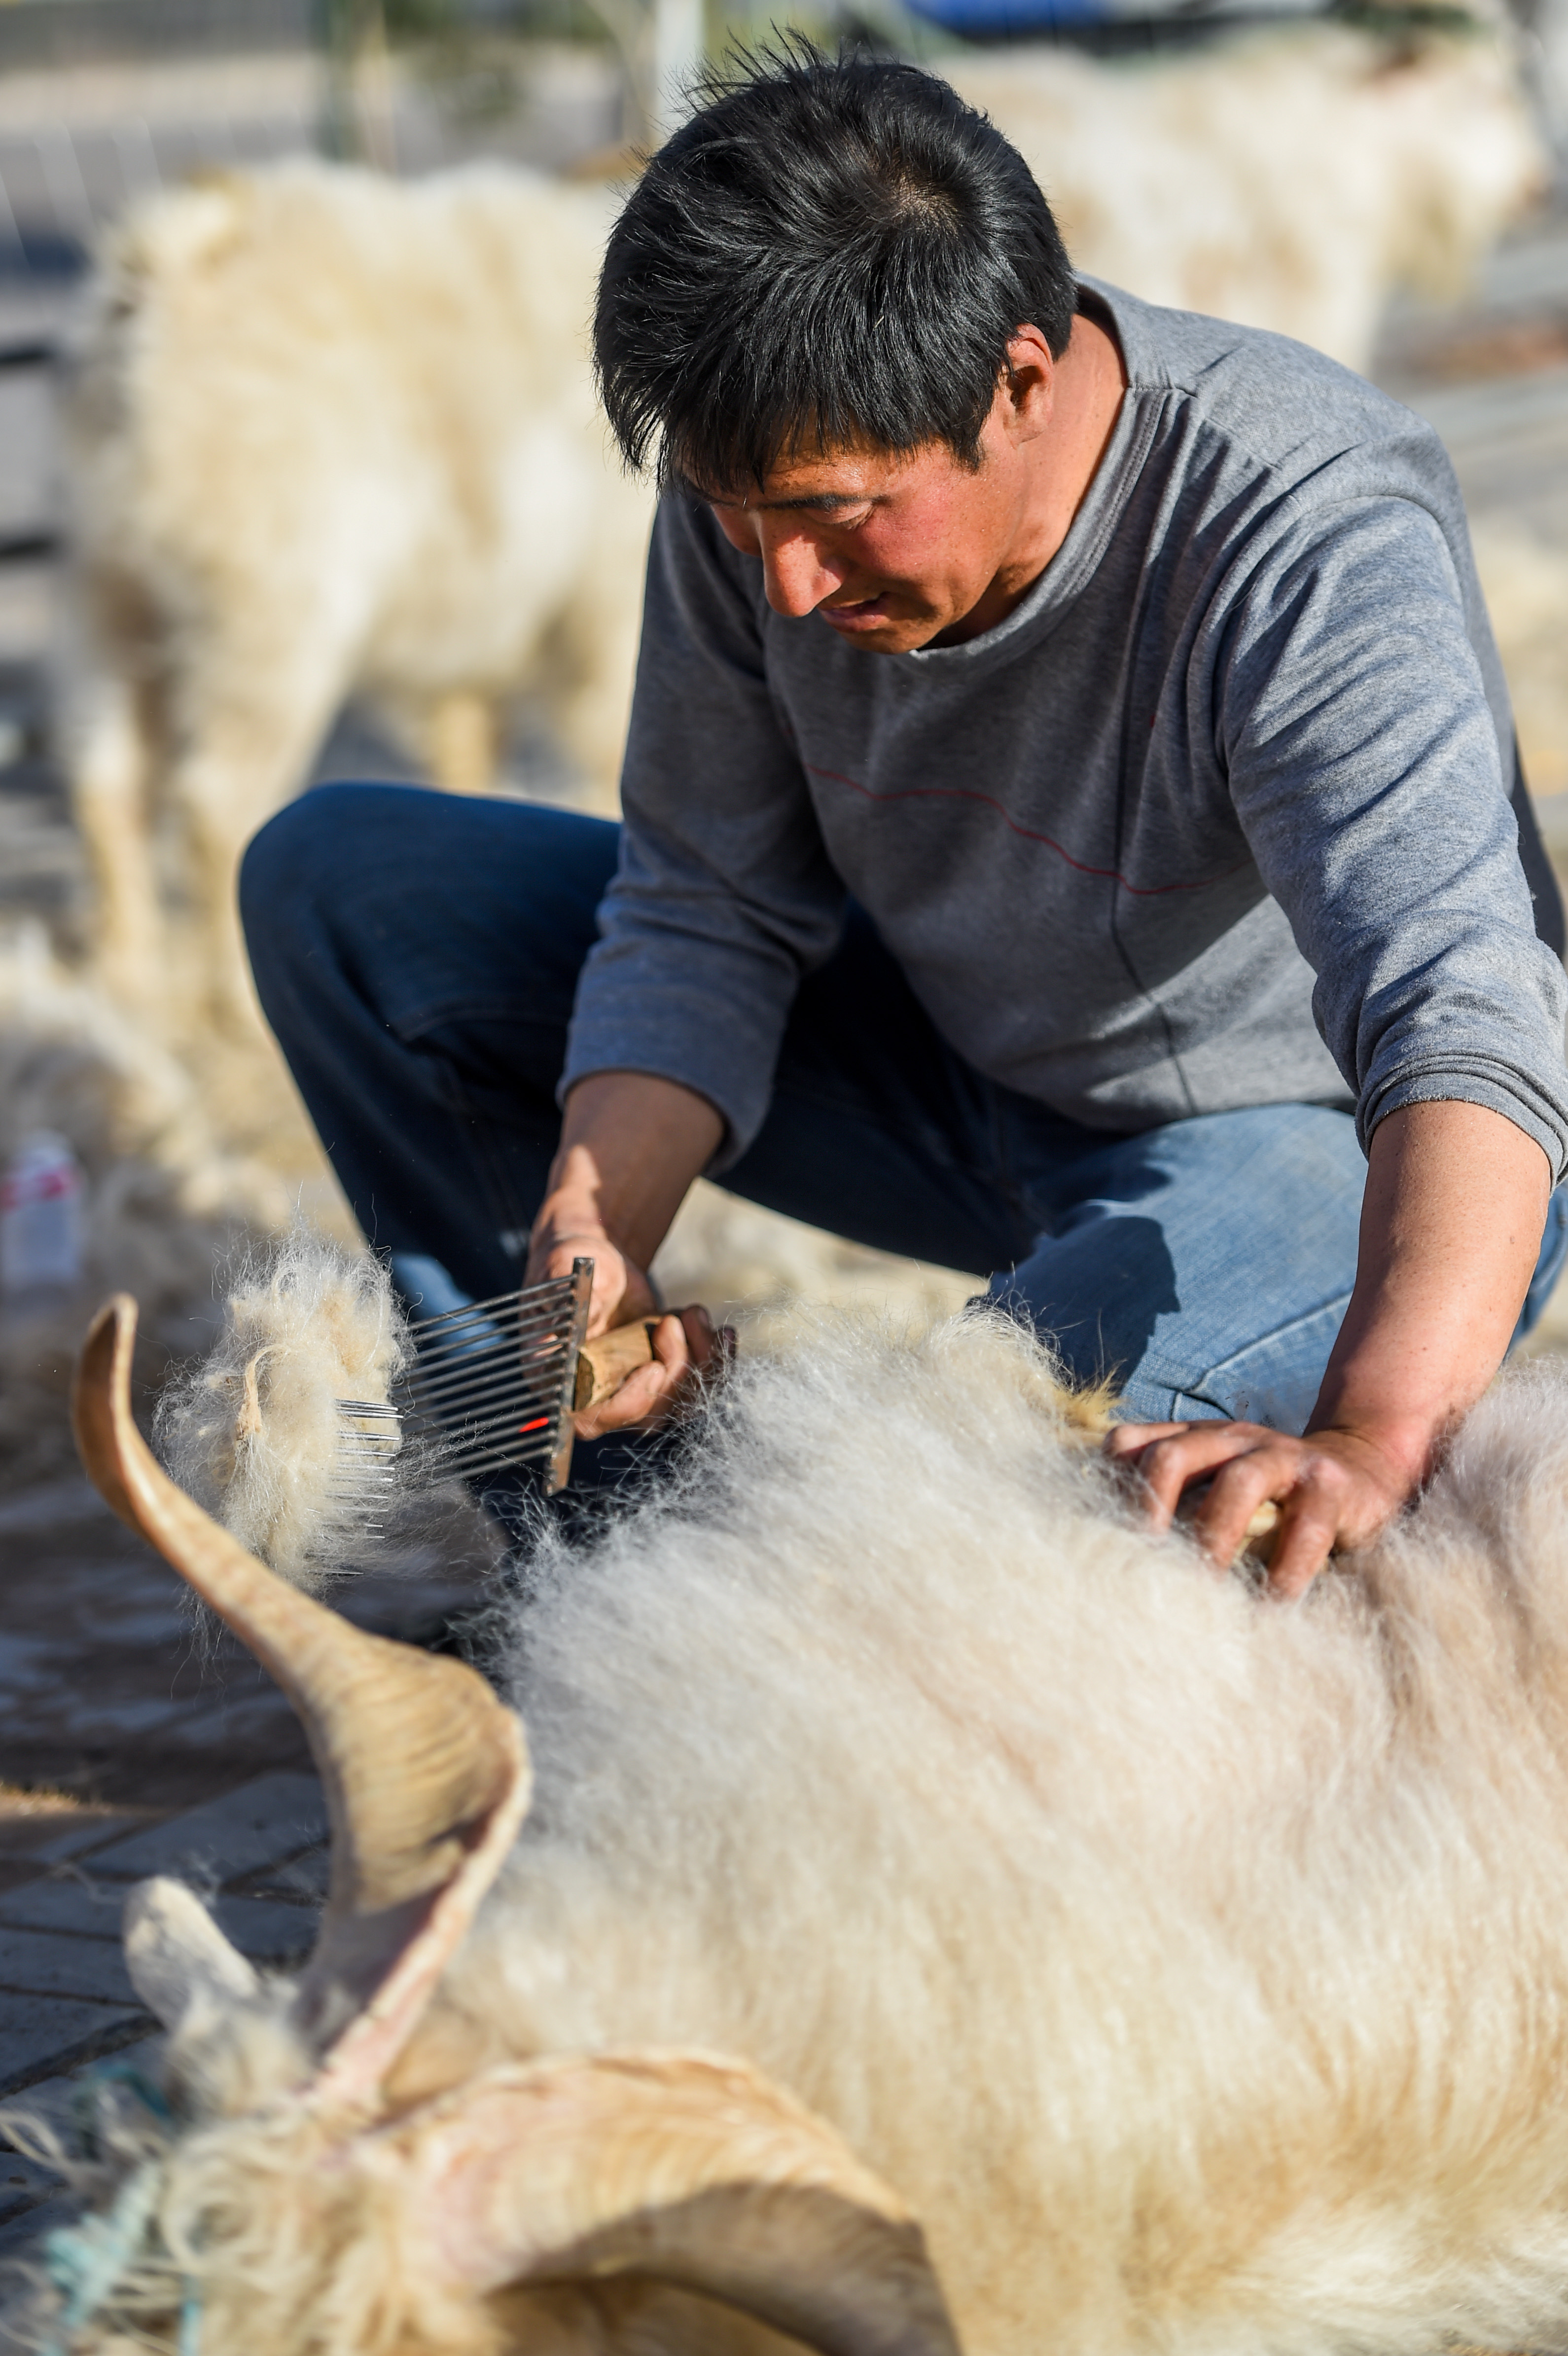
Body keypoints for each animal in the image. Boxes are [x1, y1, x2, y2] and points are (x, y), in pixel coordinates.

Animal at [61, 156, 654, 1022]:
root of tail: (171, 265)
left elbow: (472, 741)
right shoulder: (610, 614)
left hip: (117, 610)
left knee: (108, 787)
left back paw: (127, 980)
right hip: (272, 621)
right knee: (216, 809)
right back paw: (236, 1004)